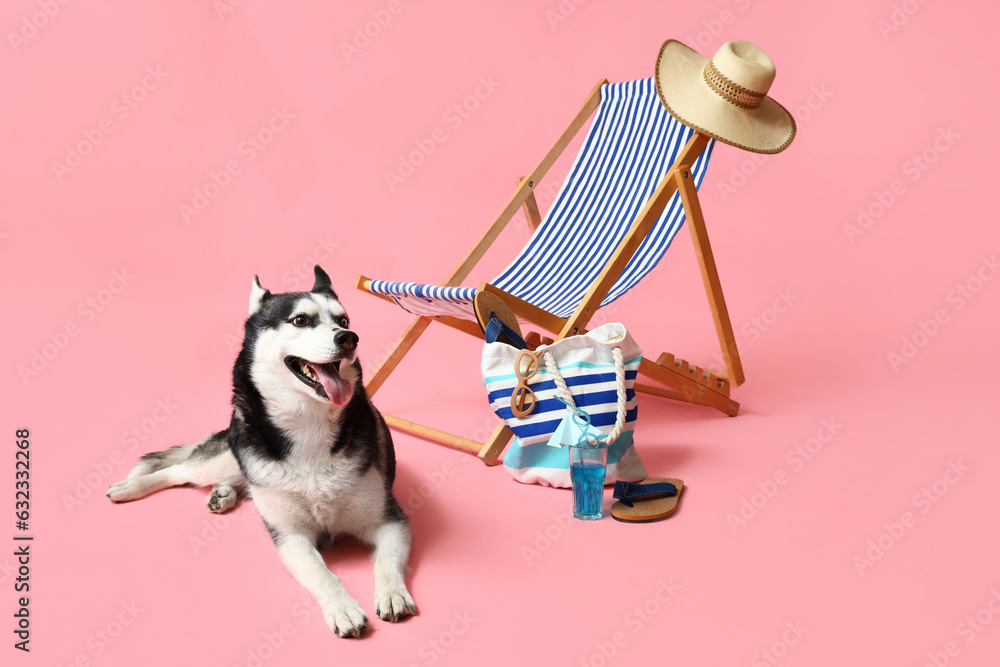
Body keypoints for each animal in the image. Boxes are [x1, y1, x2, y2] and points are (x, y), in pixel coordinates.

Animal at [110, 264, 418, 636]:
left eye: (343, 320)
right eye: (300, 320)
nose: (349, 338)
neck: (308, 423)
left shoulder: (388, 518)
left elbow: (386, 559)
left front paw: (391, 592)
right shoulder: (290, 536)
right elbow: (321, 573)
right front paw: (342, 607)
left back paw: (223, 495)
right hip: (231, 454)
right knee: (179, 470)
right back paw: (132, 487)